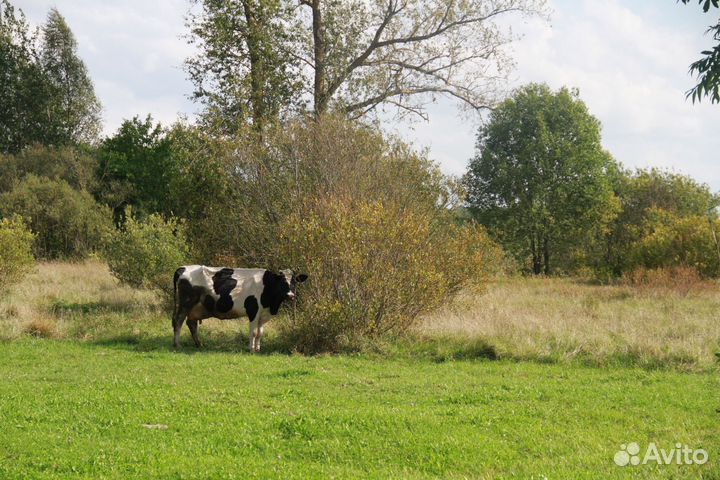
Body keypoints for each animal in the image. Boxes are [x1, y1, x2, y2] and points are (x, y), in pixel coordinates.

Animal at [172, 265, 308, 352]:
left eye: (294, 282)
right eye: (282, 282)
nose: (290, 295)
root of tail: (183, 267)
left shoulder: (263, 314)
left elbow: (260, 333)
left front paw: (258, 349)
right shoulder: (253, 310)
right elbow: (253, 332)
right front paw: (251, 349)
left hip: (196, 308)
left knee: (191, 323)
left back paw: (199, 344)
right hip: (186, 303)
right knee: (178, 321)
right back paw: (177, 344)